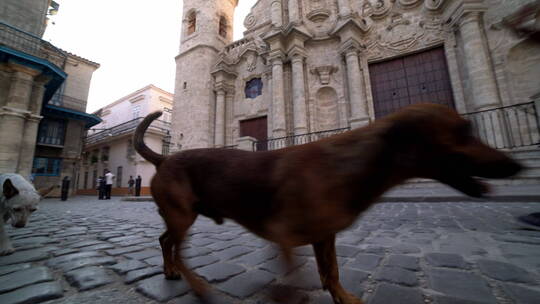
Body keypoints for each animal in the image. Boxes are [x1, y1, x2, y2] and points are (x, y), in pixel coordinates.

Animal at [133, 103, 520, 302]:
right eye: (464, 132)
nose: (515, 166)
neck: (354, 163)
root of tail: (164, 157)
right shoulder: (285, 238)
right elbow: (296, 277)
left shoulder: (324, 237)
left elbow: (331, 273)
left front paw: (343, 298)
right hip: (183, 216)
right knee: (178, 248)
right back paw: (195, 284)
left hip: (180, 217)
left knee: (165, 241)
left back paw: (170, 271)